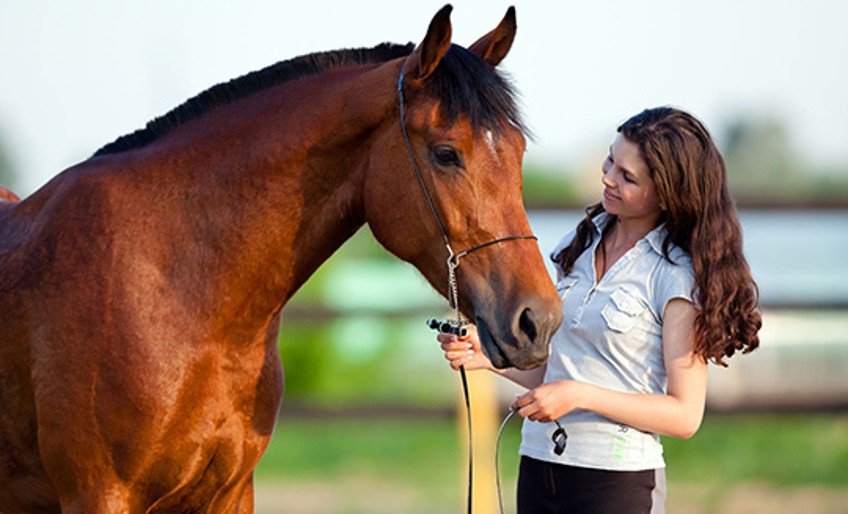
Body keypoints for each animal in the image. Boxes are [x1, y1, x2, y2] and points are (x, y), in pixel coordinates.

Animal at [0, 5, 564, 512]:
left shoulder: (231, 493)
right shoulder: (100, 495)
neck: (173, 289)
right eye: (446, 154)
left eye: (517, 150)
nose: (538, 320)